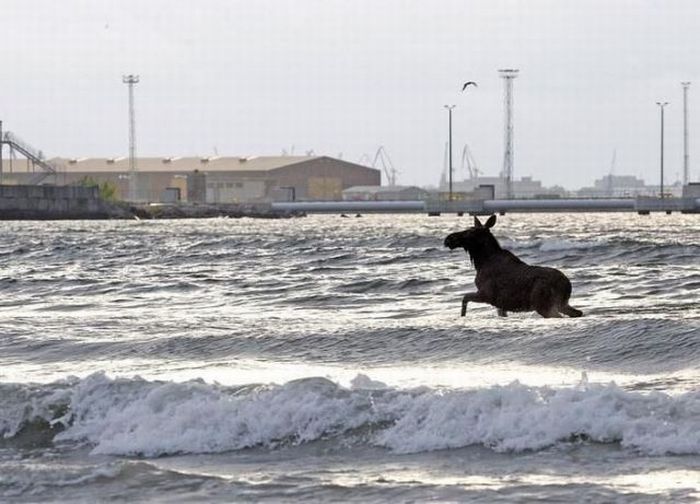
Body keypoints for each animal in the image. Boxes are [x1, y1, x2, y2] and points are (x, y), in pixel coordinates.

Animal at [442, 215, 584, 316]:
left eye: (470, 232)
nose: (448, 239)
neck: (481, 262)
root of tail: (567, 284)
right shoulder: (500, 304)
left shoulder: (486, 295)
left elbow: (464, 298)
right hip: (561, 303)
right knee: (578, 313)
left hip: (544, 305)